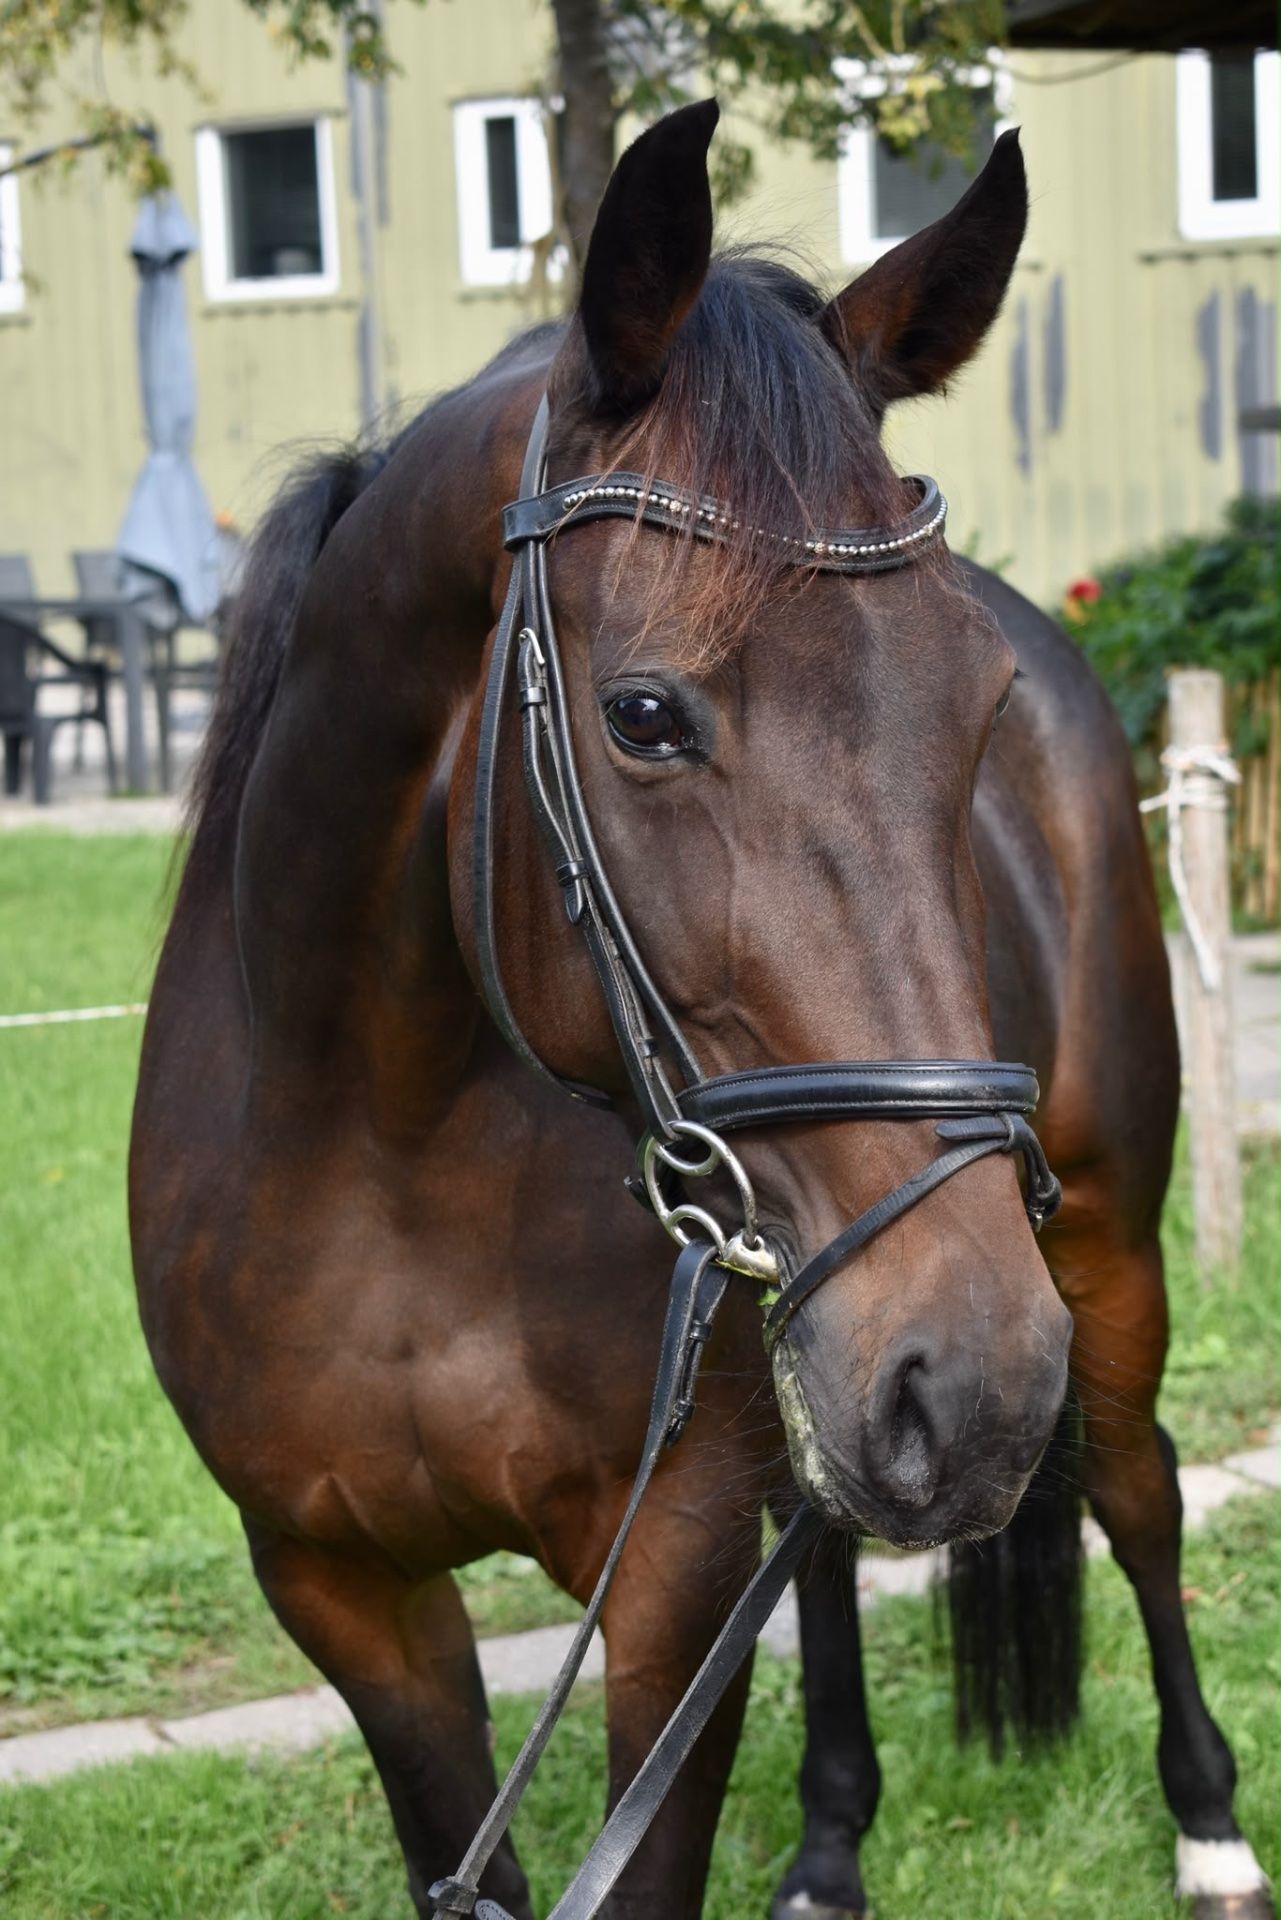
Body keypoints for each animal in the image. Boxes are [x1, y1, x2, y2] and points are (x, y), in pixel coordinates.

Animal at [129, 101, 1272, 1919]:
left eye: (976, 711)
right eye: (646, 716)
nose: (982, 1378)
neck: (385, 1151)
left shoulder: (667, 1570)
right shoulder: (340, 1586)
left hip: (1093, 1242)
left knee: (1139, 1486)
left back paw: (1208, 1825)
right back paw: (828, 1840)